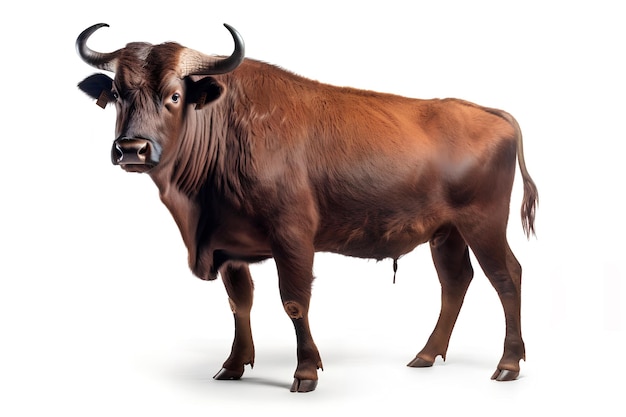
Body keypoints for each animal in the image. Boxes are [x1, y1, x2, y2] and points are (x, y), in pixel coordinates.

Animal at [77, 22, 536, 392]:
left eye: (175, 95)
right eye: (116, 94)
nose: (132, 148)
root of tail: (491, 113)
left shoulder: (292, 238)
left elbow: (294, 301)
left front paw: (305, 372)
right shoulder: (230, 247)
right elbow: (239, 302)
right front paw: (232, 366)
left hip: (483, 226)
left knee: (506, 276)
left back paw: (508, 365)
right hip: (446, 234)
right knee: (456, 282)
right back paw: (424, 356)